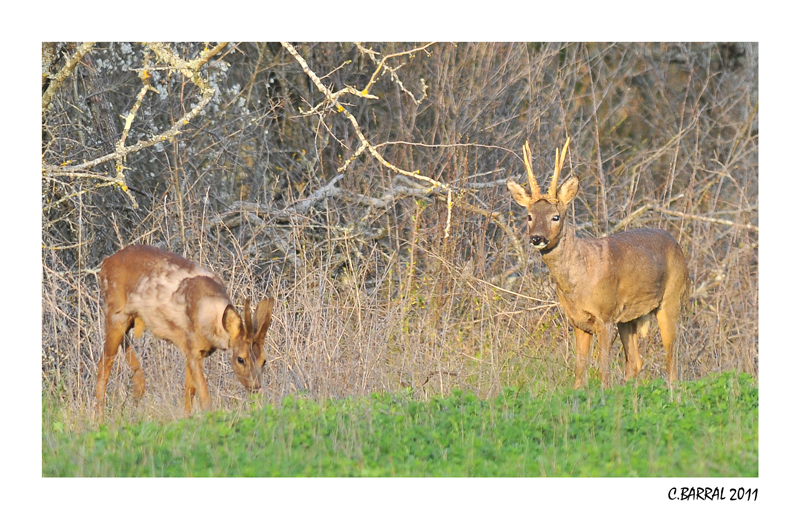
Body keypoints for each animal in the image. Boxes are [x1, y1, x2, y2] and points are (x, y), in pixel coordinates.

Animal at [94, 245, 272, 414]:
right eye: (240, 359)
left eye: (264, 360)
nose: (256, 387)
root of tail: (105, 263)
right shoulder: (192, 348)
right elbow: (205, 400)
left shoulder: (194, 351)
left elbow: (189, 393)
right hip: (115, 313)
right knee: (103, 367)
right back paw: (100, 419)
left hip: (128, 320)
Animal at [506, 138, 688, 390]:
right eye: (529, 216)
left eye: (555, 216)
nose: (537, 238)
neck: (577, 280)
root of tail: (676, 244)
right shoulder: (578, 321)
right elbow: (579, 370)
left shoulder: (605, 315)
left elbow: (603, 369)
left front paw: (604, 393)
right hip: (629, 317)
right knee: (635, 362)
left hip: (671, 298)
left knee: (672, 361)